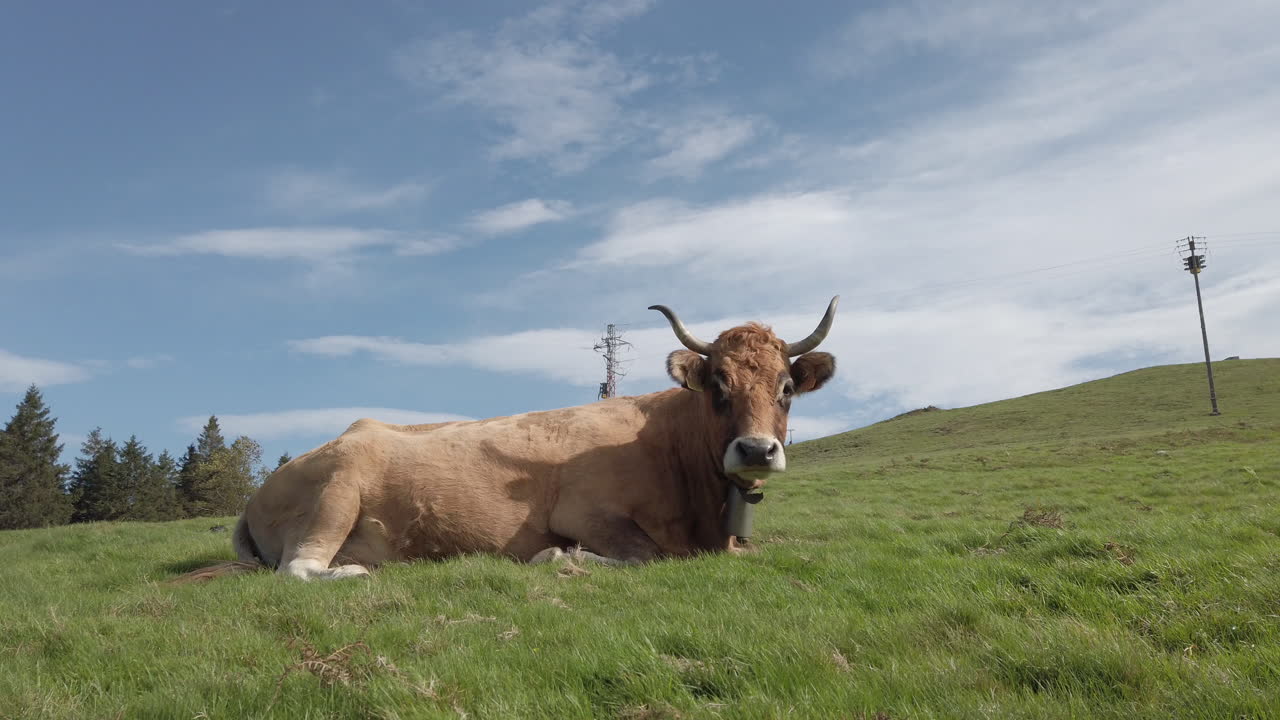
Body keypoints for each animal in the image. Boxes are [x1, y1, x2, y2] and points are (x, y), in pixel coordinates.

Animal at [224, 298, 838, 580]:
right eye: (717, 386)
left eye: (786, 388)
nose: (756, 450)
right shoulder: (584, 512)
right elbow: (646, 556)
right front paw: (559, 557)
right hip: (336, 492)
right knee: (298, 569)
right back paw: (352, 573)